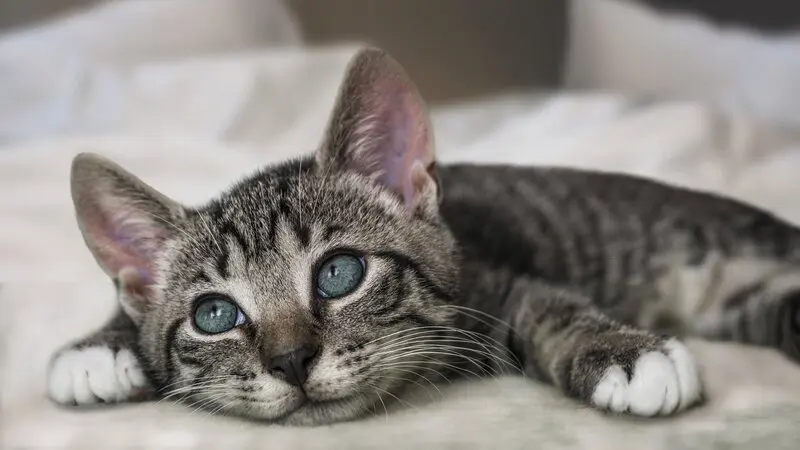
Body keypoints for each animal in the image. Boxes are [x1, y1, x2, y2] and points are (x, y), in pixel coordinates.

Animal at [47, 48, 800, 426]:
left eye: (339, 274)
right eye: (213, 315)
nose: (290, 361)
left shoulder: (496, 278)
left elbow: (550, 307)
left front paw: (623, 352)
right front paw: (99, 348)